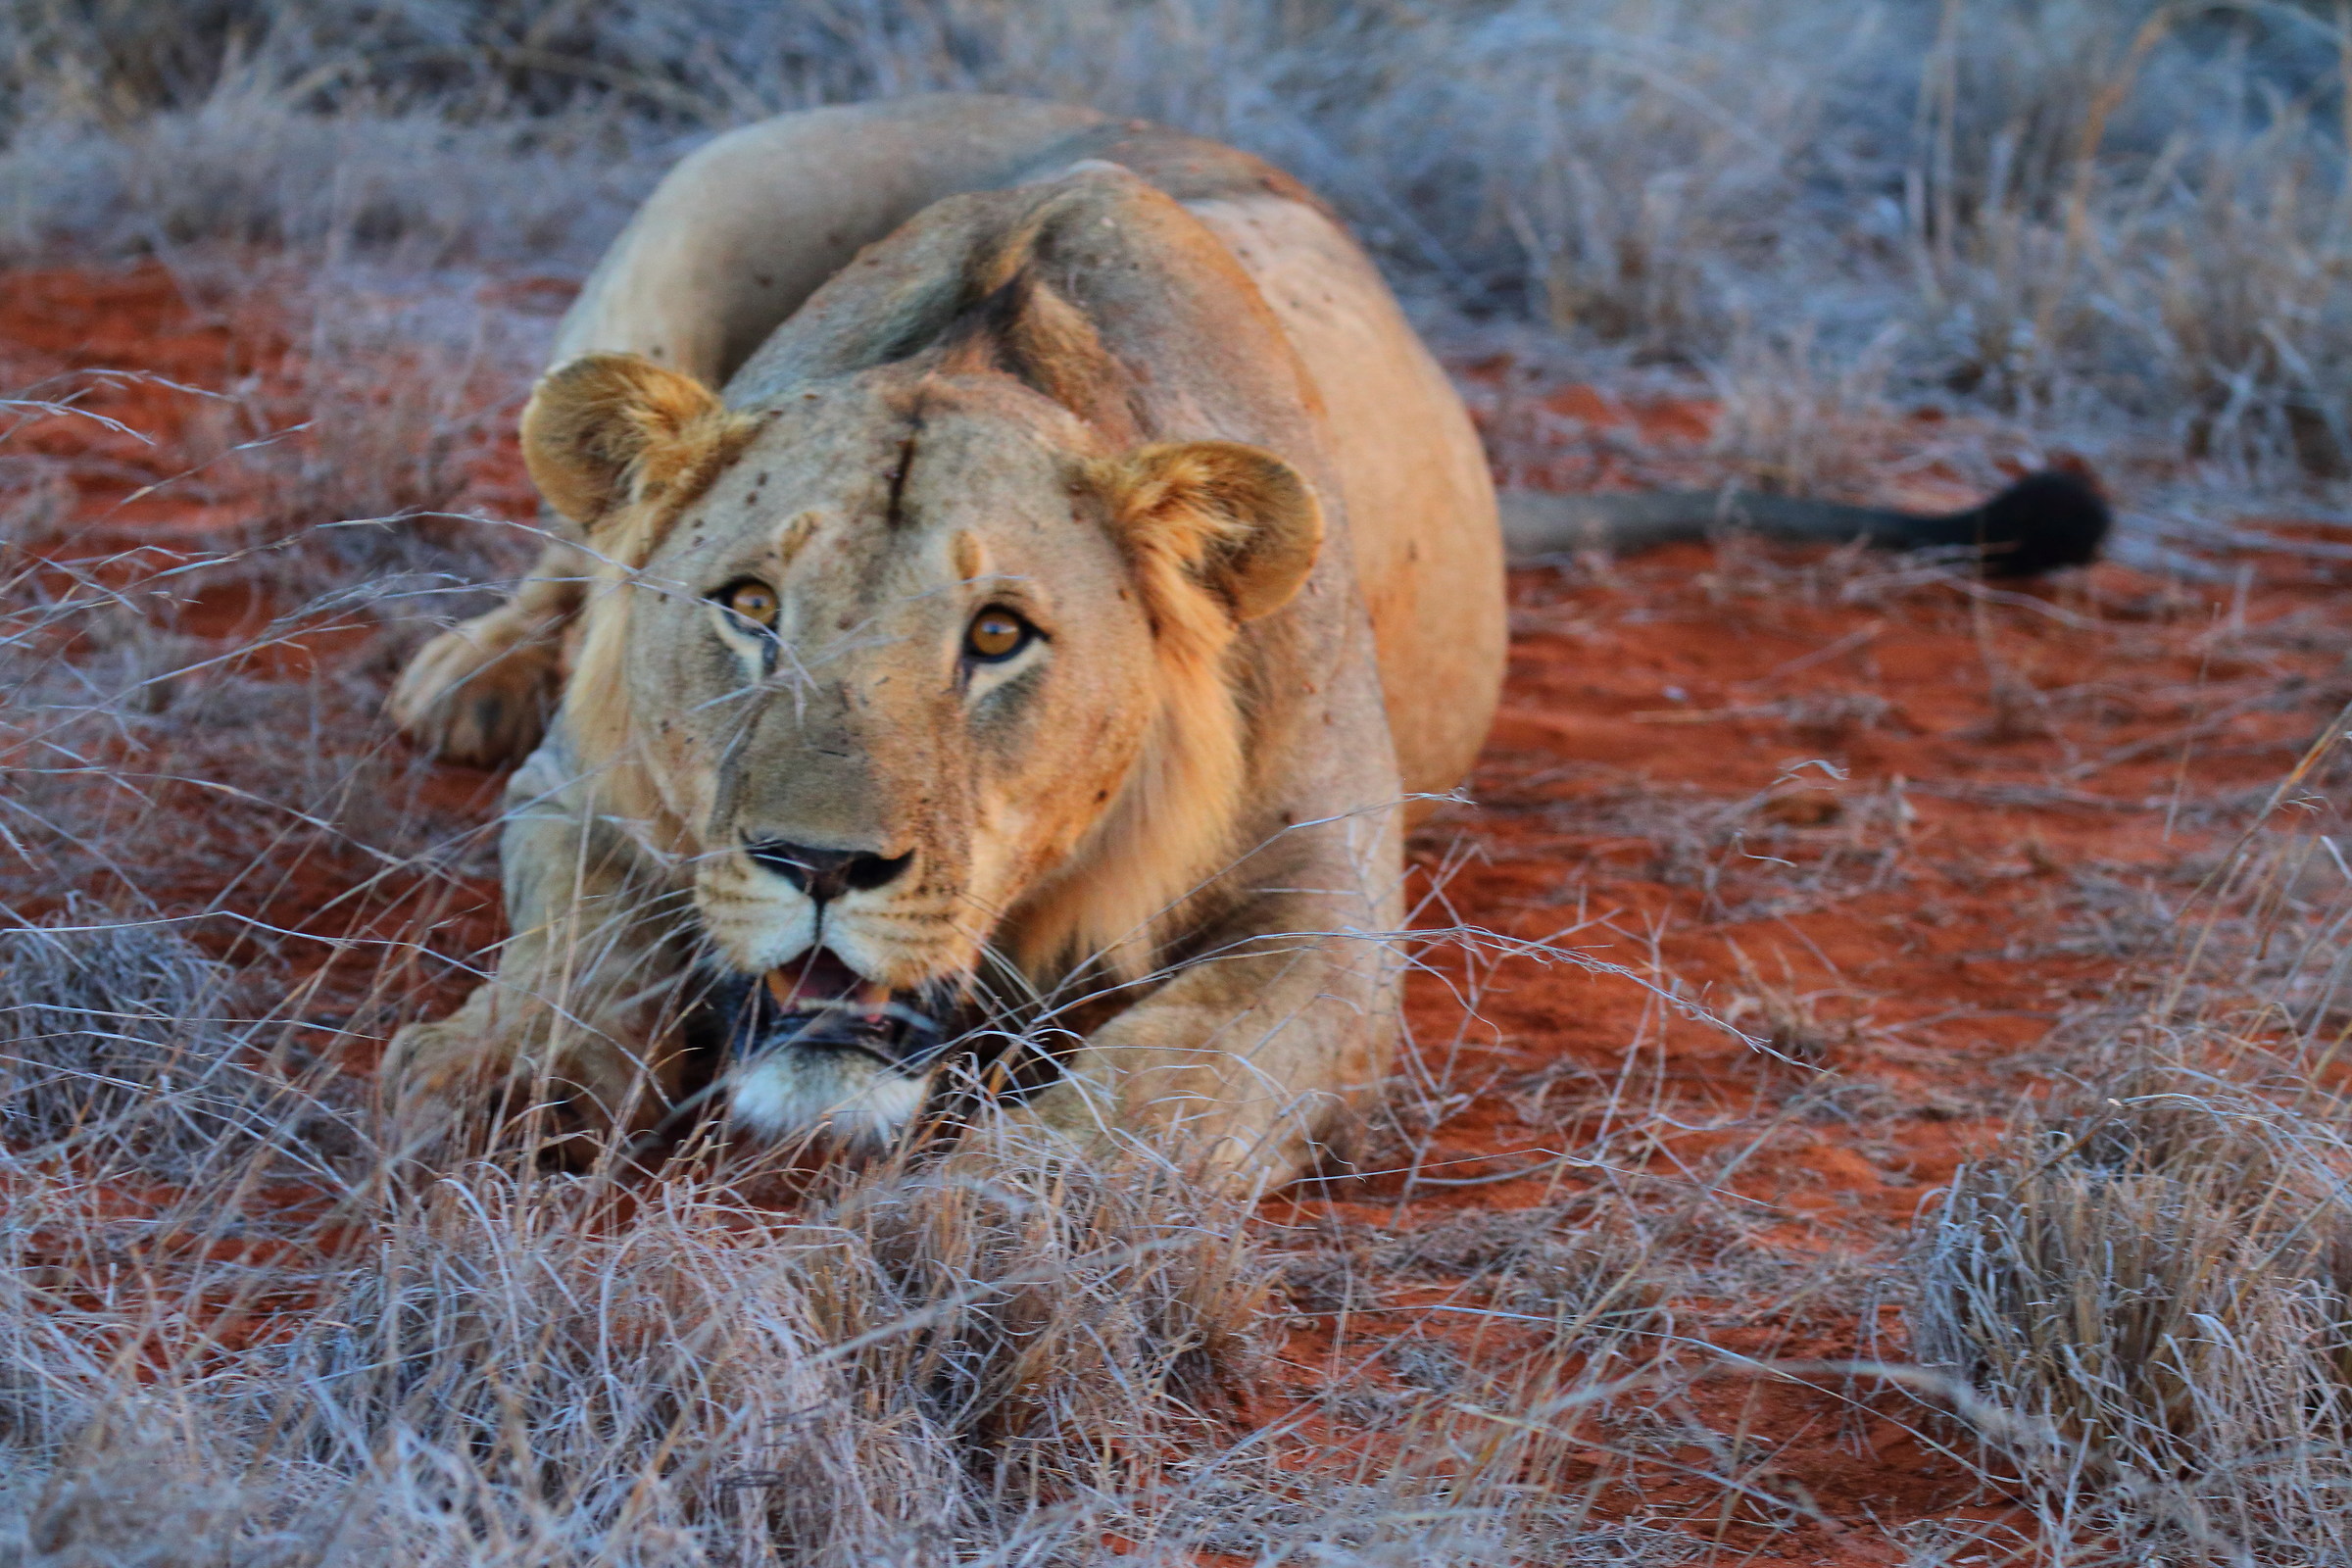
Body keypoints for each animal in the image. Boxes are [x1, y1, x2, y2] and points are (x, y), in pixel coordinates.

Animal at [384, 95, 2104, 1190]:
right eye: (748, 609)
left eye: (998, 637)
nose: (820, 865)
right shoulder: (585, 802)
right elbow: (580, 948)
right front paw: (487, 1090)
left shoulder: (1323, 930)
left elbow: (1162, 1093)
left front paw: (987, 1251)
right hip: (695, 205)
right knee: (573, 544)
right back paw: (476, 675)